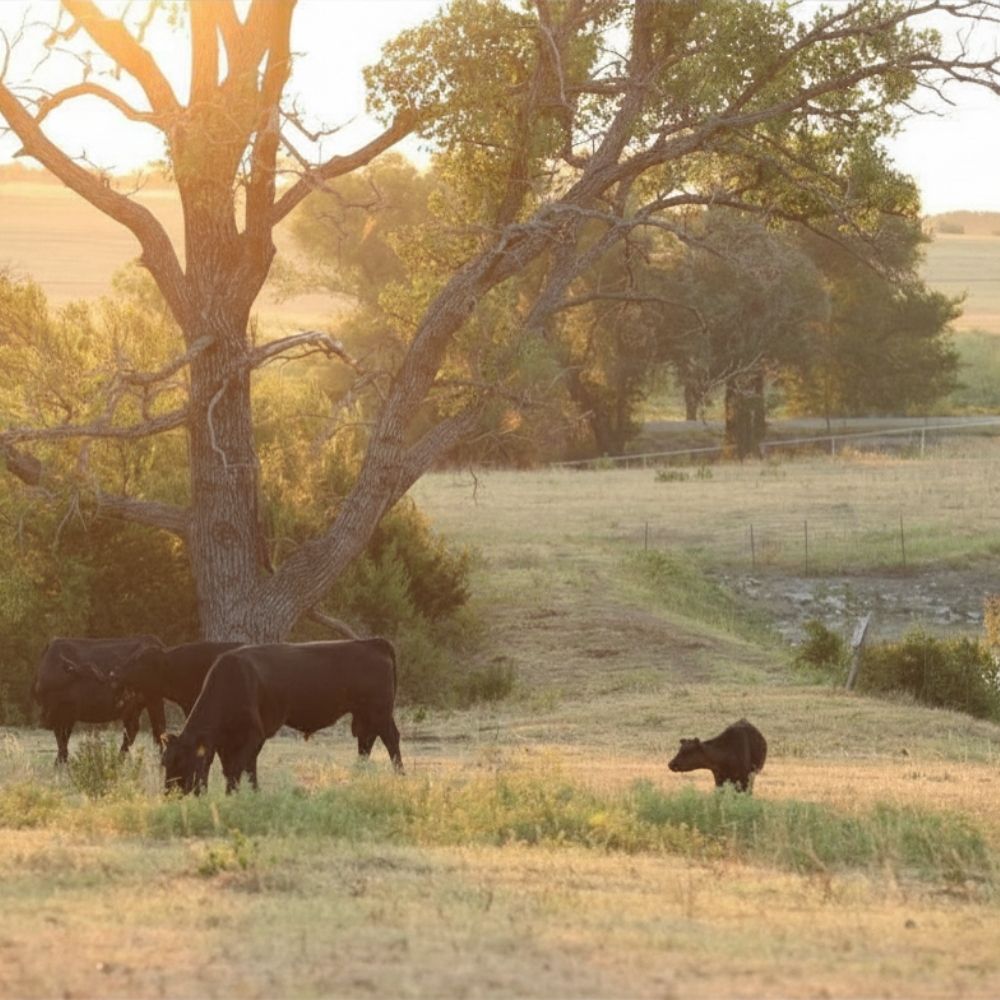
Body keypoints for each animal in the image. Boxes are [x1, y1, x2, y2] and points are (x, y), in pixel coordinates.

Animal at [33, 636, 166, 764]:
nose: (104, 677)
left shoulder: (61, 714)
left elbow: (61, 739)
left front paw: (59, 762)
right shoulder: (64, 715)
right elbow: (63, 740)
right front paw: (61, 762)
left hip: (154, 701)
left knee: (158, 730)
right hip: (135, 707)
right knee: (132, 731)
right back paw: (119, 760)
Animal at [161, 638, 403, 794]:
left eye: (181, 762)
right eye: (165, 763)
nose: (169, 794)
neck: (232, 680)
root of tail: (372, 642)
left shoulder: (254, 734)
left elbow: (237, 767)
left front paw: (233, 794)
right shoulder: (225, 742)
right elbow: (241, 767)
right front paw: (252, 792)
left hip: (379, 712)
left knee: (390, 739)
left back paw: (399, 775)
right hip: (366, 715)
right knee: (367, 741)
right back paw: (358, 776)